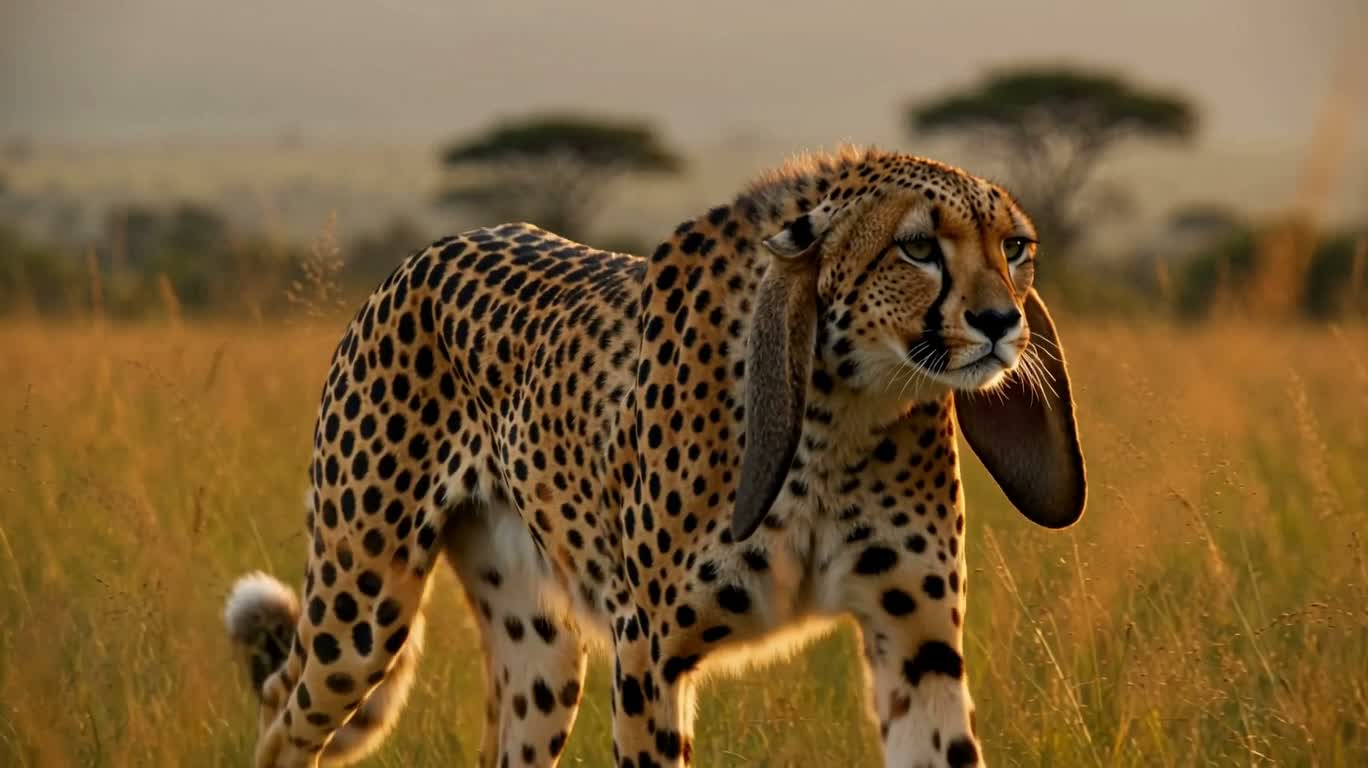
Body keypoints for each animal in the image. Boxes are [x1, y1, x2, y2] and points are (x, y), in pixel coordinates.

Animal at [224, 144, 1086, 768]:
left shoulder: (918, 645)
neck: (840, 411)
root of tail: (435, 247)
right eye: (917, 248)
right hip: (361, 612)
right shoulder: (649, 650)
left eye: (1015, 247)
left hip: (539, 657)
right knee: (283, 720)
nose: (1001, 321)